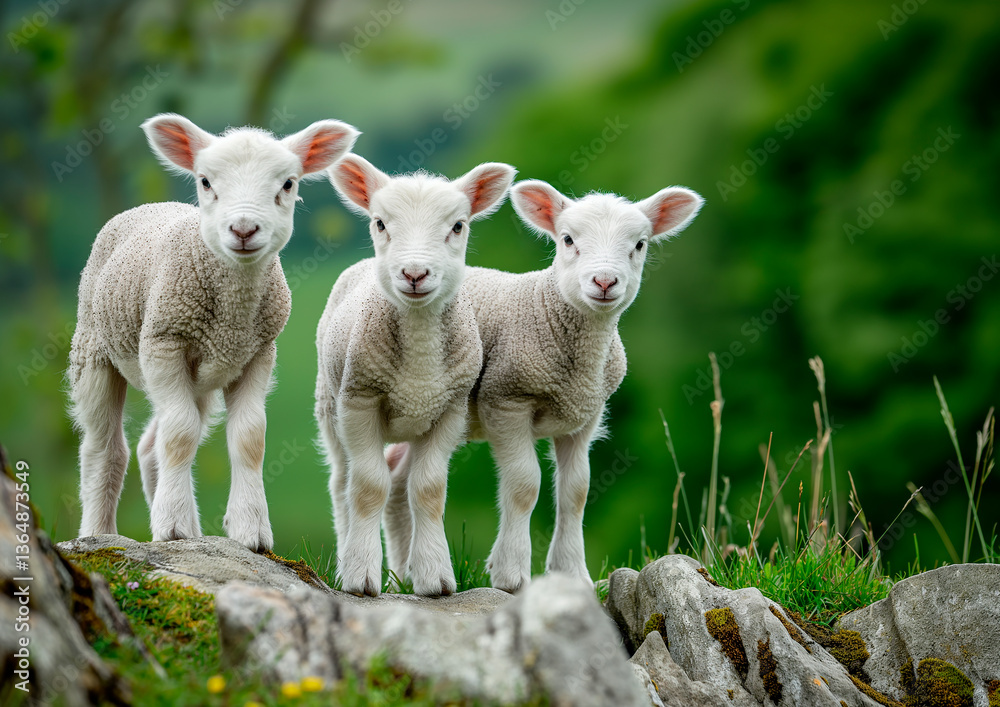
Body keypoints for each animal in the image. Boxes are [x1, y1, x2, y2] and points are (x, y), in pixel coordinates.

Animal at [69, 113, 359, 552]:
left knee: (150, 446)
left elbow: (249, 438)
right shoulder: (164, 343)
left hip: (201, 378)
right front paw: (173, 526)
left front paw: (249, 530)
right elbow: (180, 434)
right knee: (105, 448)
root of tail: (148, 207)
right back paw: (100, 533)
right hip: (94, 348)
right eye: (205, 181)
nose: (243, 229)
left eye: (288, 184)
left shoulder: (257, 353)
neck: (231, 315)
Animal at [316, 154, 515, 597]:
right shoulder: (359, 400)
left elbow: (427, 490)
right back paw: (346, 558)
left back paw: (404, 574)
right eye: (379, 223)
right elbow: (368, 487)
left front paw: (434, 577)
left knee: (399, 484)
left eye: (457, 226)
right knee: (342, 484)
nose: (414, 273)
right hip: (329, 404)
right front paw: (360, 576)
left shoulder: (450, 411)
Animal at [384, 179, 703, 592]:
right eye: (567, 239)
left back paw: (404, 575)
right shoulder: (506, 400)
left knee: (397, 478)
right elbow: (525, 486)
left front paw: (572, 573)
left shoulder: (584, 417)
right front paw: (510, 574)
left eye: (639, 244)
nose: (604, 282)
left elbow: (576, 492)